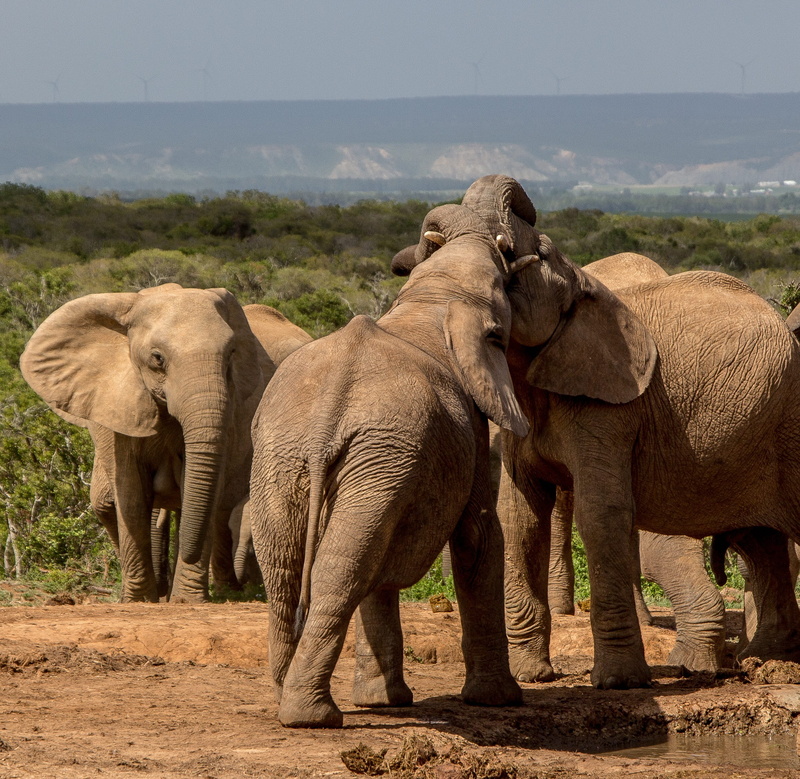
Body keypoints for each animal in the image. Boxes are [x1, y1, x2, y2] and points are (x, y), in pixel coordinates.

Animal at [20, 284, 310, 602]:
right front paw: (138, 600)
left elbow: (200, 488)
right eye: (157, 358)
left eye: (231, 355)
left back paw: (230, 591)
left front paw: (185, 600)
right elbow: (131, 493)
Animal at [249, 203, 528, 728]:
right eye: (500, 333)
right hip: (376, 455)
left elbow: (382, 566)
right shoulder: (472, 429)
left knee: (287, 567)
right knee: (338, 571)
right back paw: (313, 717)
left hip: (291, 455)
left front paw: (383, 703)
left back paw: (284, 697)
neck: (433, 299)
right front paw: (501, 700)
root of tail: (328, 412)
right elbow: (479, 536)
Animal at [393, 174, 800, 691]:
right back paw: (767, 661)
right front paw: (532, 676)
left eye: (538, 254)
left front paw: (618, 682)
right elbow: (520, 515)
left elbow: (600, 511)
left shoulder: (611, 409)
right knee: (762, 544)